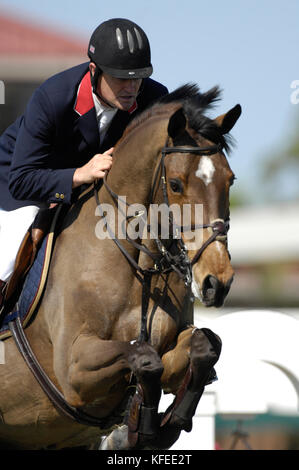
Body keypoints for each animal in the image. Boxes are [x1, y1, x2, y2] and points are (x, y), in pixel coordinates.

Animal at [0, 83, 241, 448]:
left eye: (230, 180)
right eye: (175, 184)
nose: (217, 282)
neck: (140, 267)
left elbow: (204, 345)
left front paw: (163, 423)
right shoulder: (73, 371)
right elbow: (144, 357)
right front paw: (143, 424)